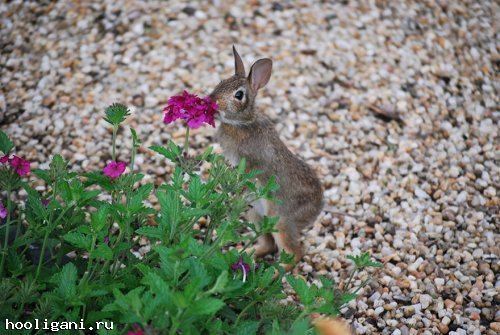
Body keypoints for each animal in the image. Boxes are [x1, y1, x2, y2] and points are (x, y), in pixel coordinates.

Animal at [208, 46, 322, 272]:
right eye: (221, 82)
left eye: (239, 95)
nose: (212, 101)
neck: (243, 123)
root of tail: (317, 209)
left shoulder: (251, 162)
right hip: (255, 214)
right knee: (268, 244)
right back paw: (246, 255)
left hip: (280, 219)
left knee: (293, 254)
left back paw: (273, 273)